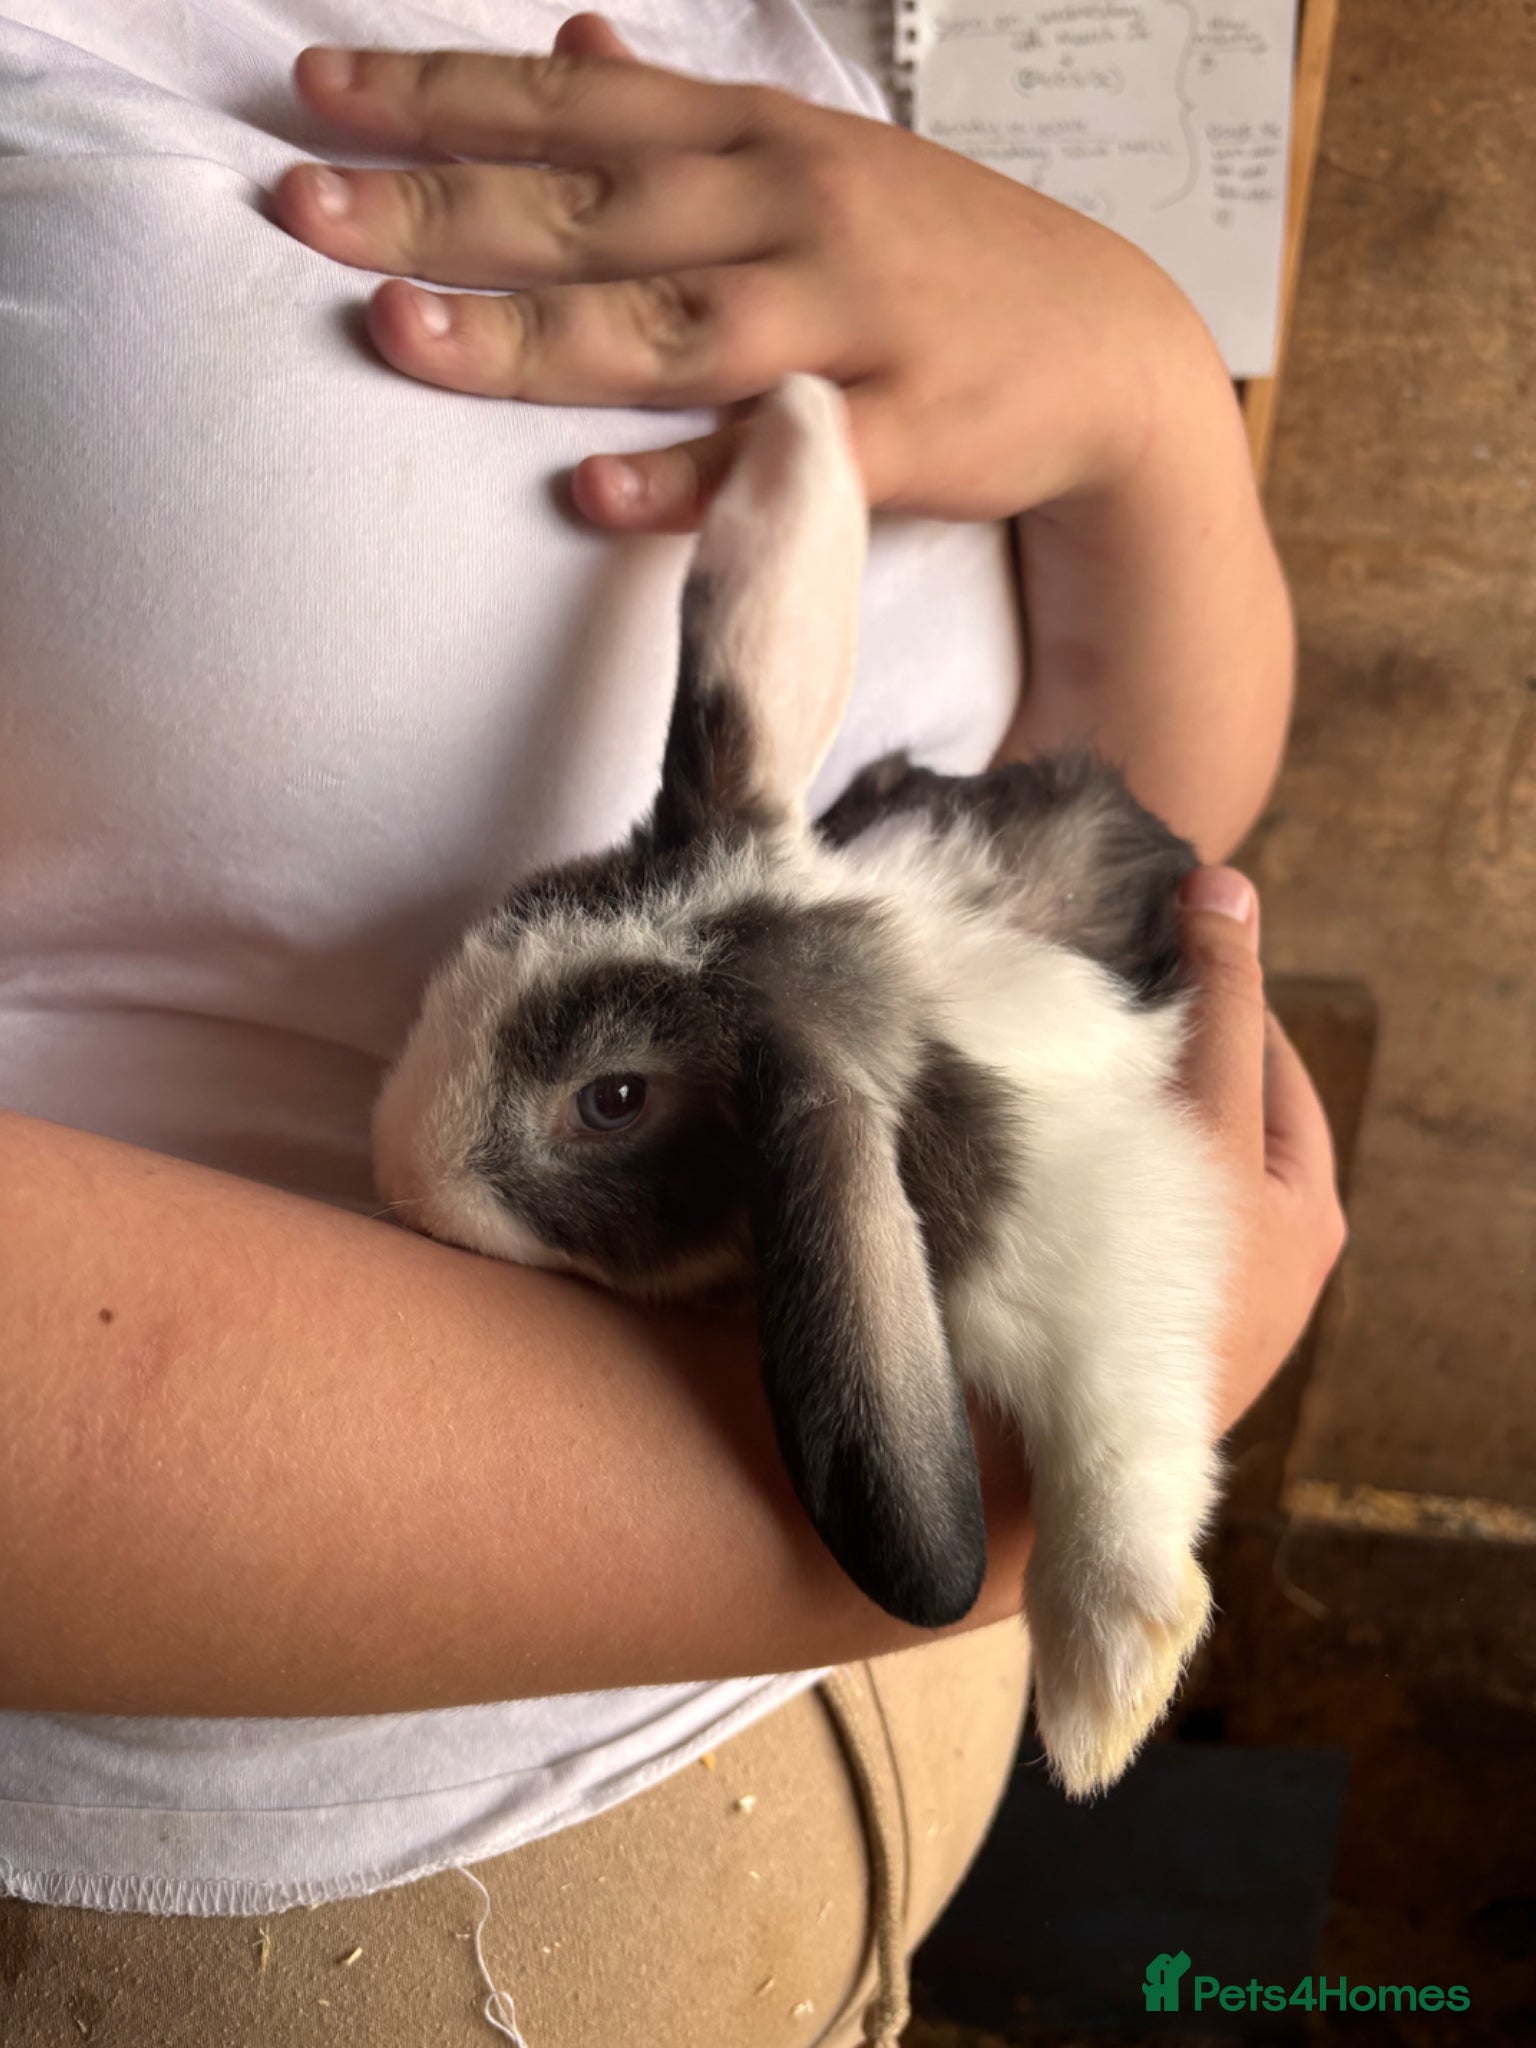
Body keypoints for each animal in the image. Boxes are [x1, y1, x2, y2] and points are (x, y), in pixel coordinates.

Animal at [373, 373, 1231, 1800]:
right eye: (507, 915)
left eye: (612, 1100)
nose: (396, 1173)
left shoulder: (1109, 1239)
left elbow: (1124, 1430)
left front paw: (1102, 1688)